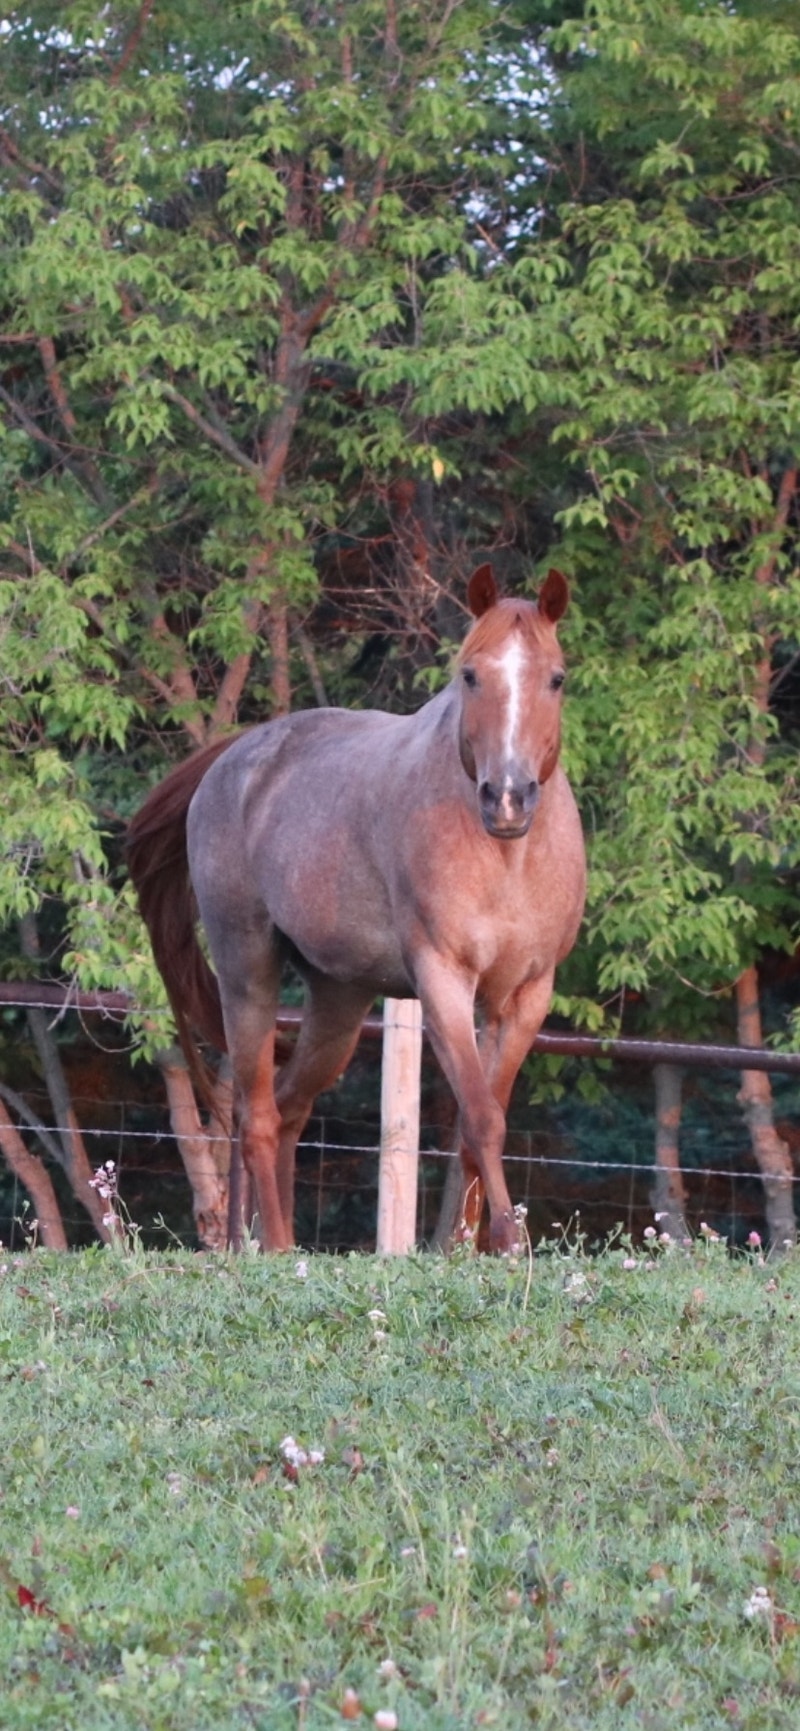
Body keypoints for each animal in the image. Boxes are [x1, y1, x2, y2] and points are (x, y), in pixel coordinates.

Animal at [126, 563, 586, 1254]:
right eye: (470, 674)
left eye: (555, 678)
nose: (507, 797)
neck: (508, 857)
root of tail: (236, 757)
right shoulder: (443, 980)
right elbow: (482, 1117)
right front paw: (506, 1241)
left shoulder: (527, 994)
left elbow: (483, 1122)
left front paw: (468, 1249)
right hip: (247, 972)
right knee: (257, 1115)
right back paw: (277, 1250)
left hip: (339, 1000)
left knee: (290, 1107)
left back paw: (283, 1241)